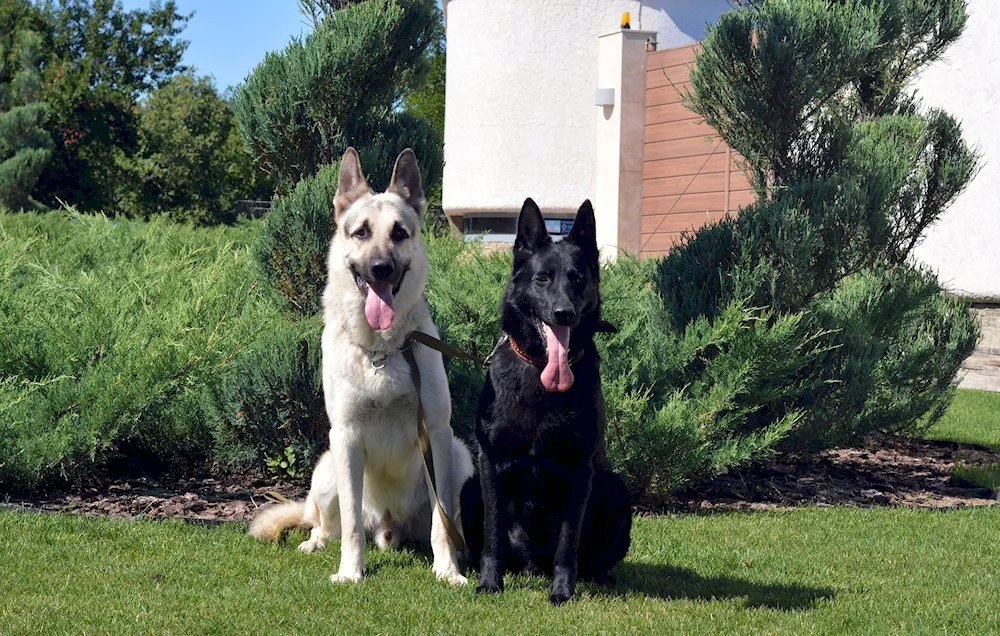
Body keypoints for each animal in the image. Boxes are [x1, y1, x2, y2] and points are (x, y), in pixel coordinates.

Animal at [248, 147, 470, 584]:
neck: (381, 352)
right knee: (324, 523)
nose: (381, 268)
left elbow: (442, 523)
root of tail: (387, 525)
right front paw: (351, 572)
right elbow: (350, 524)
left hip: (460, 457)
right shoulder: (346, 437)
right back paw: (315, 542)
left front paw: (447, 570)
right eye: (361, 232)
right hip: (327, 469)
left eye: (399, 233)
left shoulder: (437, 434)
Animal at [460, 196, 632, 604]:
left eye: (578, 279)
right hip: (469, 489)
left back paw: (598, 578)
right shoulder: (490, 465)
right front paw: (489, 583)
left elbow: (568, 543)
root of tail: (532, 565)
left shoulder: (581, 471)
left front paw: (562, 591)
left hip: (617, 490)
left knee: (591, 559)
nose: (563, 313)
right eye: (543, 279)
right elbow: (493, 536)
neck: (542, 373)